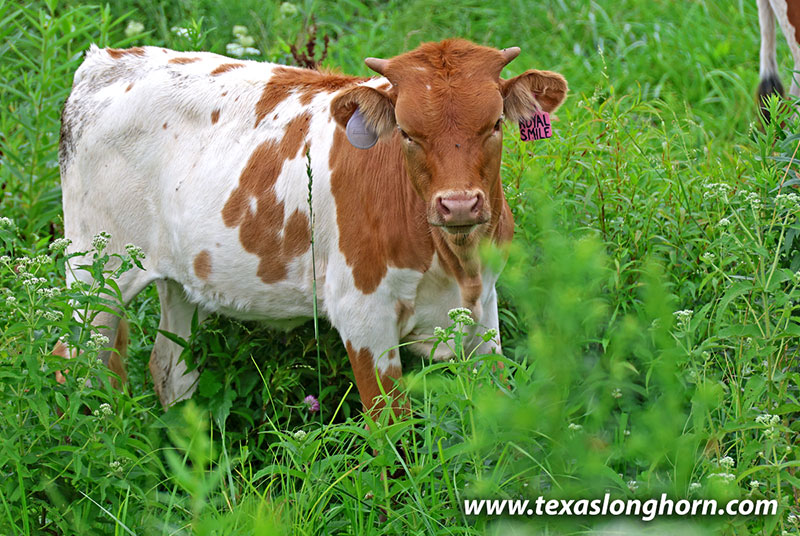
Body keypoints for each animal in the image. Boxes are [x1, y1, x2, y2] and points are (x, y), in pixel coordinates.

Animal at [56, 39, 567, 416]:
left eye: (495, 123)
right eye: (406, 132)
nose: (458, 203)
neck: (455, 261)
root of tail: (108, 60)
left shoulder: (485, 305)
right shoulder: (363, 314)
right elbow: (392, 431)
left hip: (182, 277)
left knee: (169, 369)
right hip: (94, 276)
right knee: (73, 366)